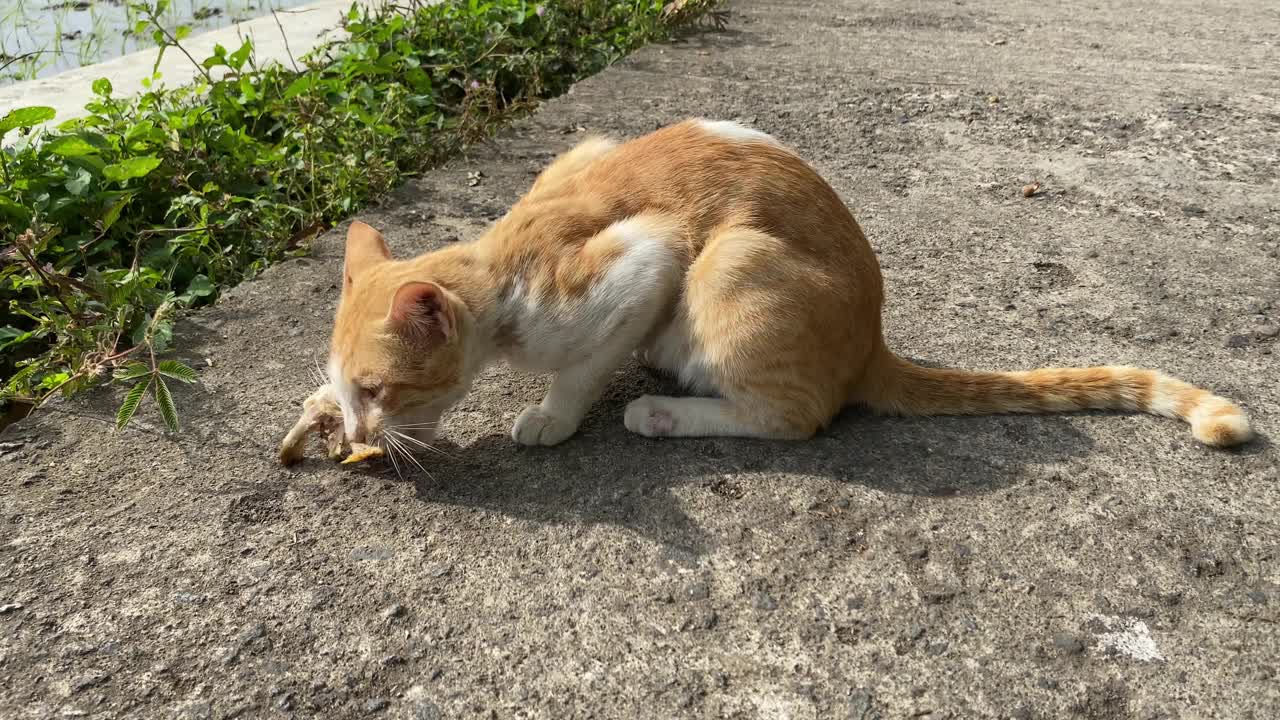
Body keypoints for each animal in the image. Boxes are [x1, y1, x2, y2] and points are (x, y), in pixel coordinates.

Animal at [299, 114, 1249, 456]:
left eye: (379, 389)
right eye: (350, 388)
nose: (357, 428)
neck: (502, 264)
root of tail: (872, 344)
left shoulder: (650, 261)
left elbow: (581, 367)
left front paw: (551, 417)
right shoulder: (586, 147)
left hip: (731, 261)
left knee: (794, 418)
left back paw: (666, 410)